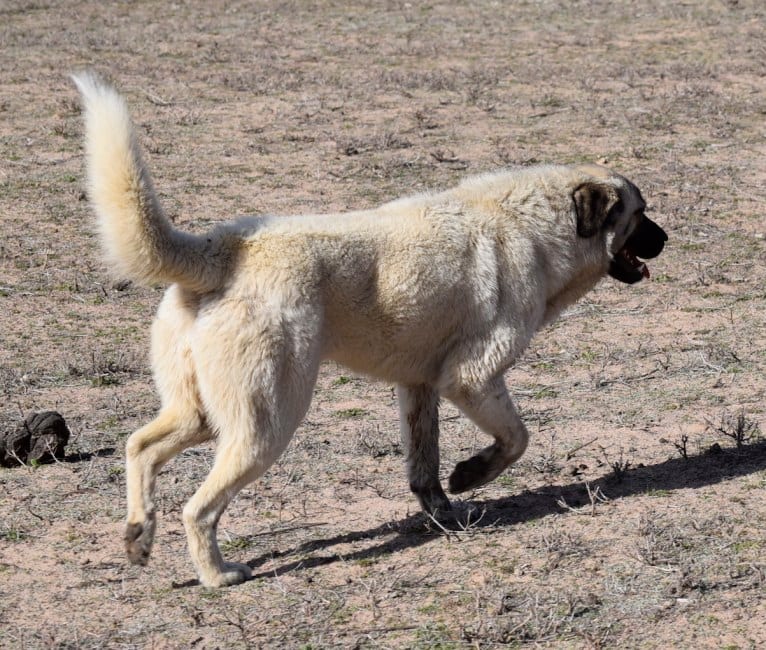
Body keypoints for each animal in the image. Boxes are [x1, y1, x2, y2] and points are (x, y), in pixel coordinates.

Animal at [75, 73, 668, 584]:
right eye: (640, 214)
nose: (667, 238)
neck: (534, 225)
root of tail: (223, 248)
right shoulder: (471, 378)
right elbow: (516, 439)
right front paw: (471, 475)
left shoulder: (421, 386)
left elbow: (424, 466)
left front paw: (444, 509)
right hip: (265, 422)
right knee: (197, 509)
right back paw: (218, 574)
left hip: (201, 412)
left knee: (139, 446)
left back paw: (138, 535)